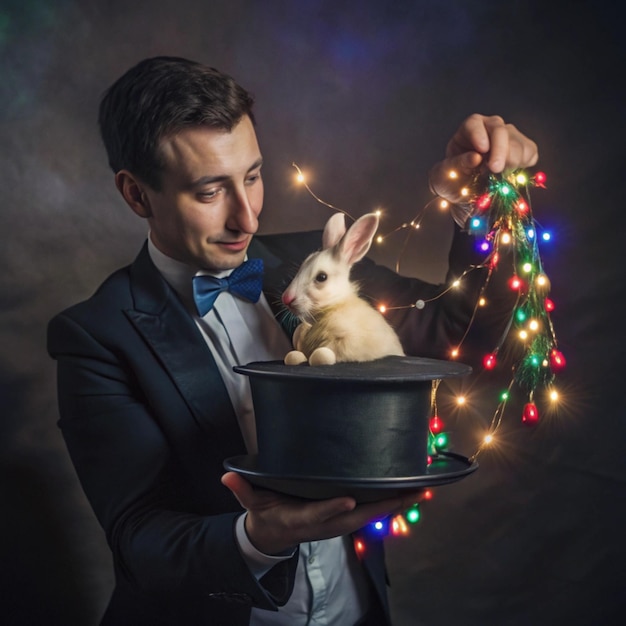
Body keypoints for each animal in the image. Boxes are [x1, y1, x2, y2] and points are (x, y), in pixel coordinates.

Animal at [280, 211, 404, 366]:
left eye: (322, 277)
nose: (286, 299)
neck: (332, 307)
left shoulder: (348, 344)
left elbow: (322, 354)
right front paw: (294, 357)